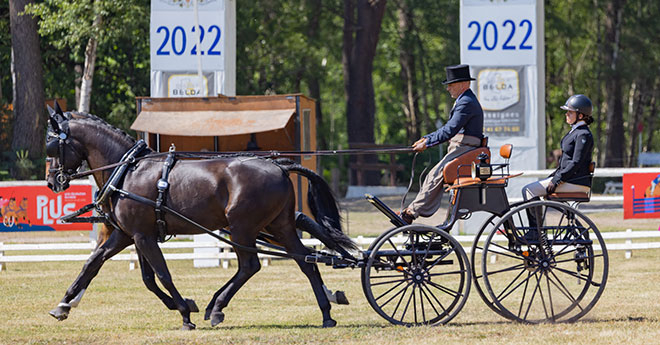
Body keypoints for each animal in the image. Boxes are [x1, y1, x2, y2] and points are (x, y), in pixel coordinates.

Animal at [44, 104, 356, 328]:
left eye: (51, 143)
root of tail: (279, 166)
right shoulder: (127, 235)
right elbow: (96, 266)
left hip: (242, 228)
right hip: (279, 226)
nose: (52, 181)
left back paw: (216, 308)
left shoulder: (142, 236)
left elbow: (161, 274)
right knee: (305, 260)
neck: (128, 170)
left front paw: (184, 312)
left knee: (250, 266)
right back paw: (326, 313)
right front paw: (64, 304)